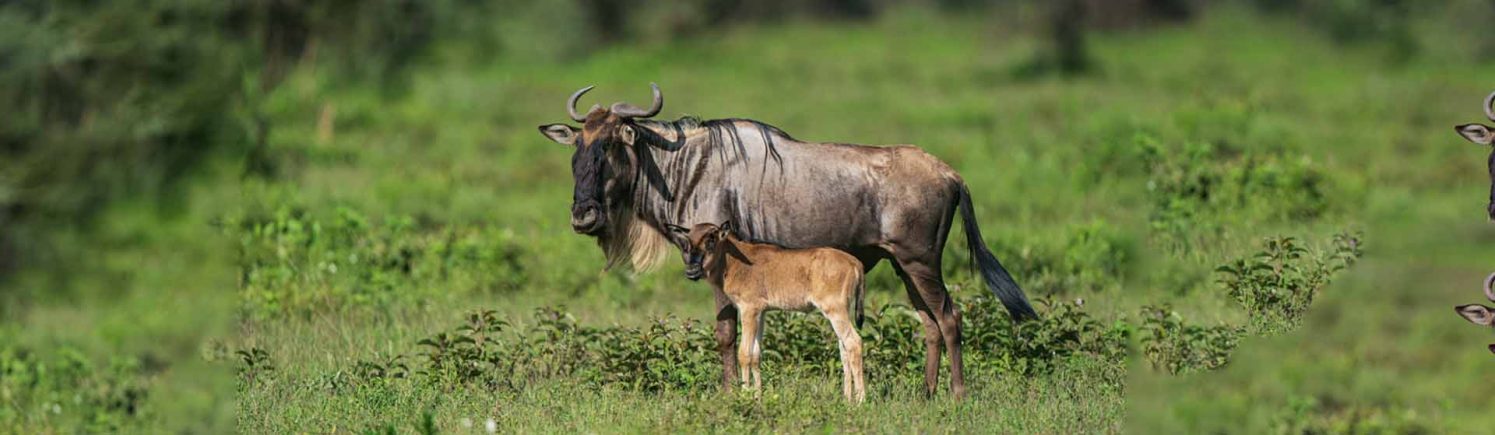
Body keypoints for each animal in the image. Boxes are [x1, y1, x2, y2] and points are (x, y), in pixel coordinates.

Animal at [667, 221, 867, 403]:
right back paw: (847, 399)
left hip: (835, 311)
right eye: (688, 242)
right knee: (844, 349)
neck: (734, 261)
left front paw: (745, 395)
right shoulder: (761, 313)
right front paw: (757, 396)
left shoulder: (748, 310)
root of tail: (855, 262)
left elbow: (744, 354)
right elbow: (756, 354)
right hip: (839, 311)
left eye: (711, 240)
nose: (692, 271)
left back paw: (860, 400)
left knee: (854, 342)